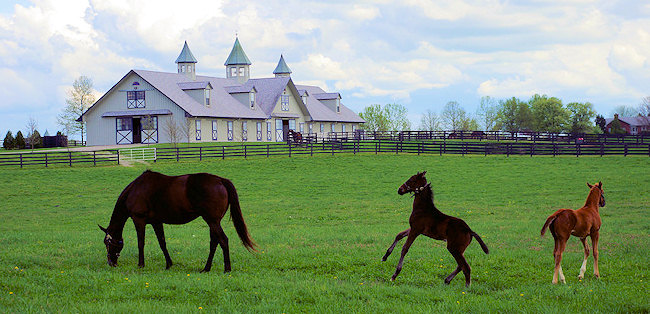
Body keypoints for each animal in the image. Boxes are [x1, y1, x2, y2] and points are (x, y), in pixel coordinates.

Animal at [97, 169, 254, 272]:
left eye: (107, 242)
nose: (111, 262)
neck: (135, 190)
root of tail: (220, 180)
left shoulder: (139, 220)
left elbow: (141, 243)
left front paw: (141, 265)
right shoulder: (156, 222)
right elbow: (162, 243)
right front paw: (169, 264)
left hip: (212, 221)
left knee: (223, 240)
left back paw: (227, 269)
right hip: (213, 222)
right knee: (214, 243)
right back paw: (206, 268)